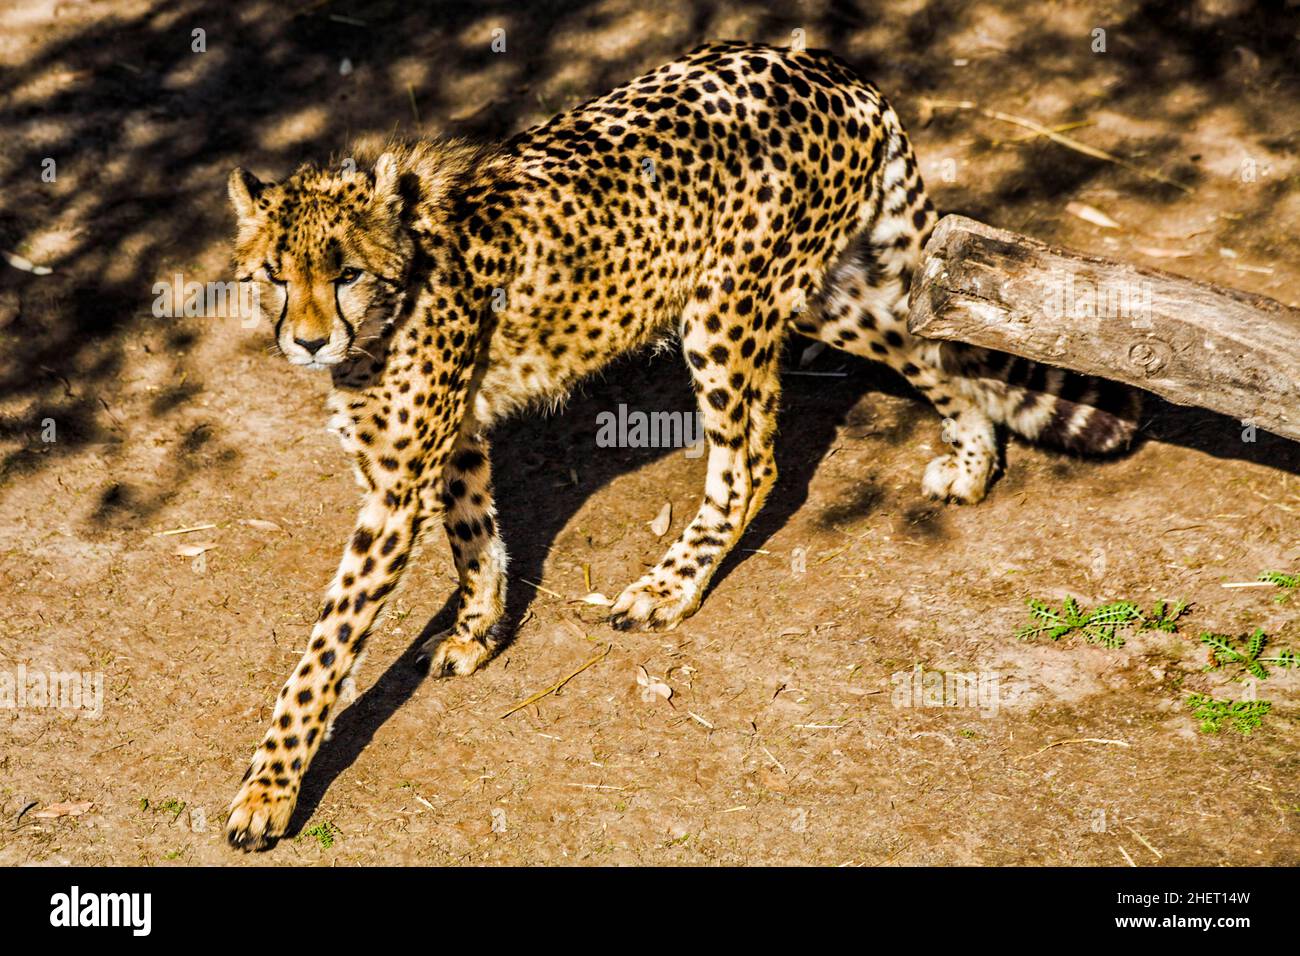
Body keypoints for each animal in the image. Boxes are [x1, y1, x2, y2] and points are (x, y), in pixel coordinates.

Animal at [223, 40, 1139, 849]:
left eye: (344, 272)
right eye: (273, 275)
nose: (308, 342)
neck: (398, 289)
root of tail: (824, 66)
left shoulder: (394, 489)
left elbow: (323, 651)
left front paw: (267, 792)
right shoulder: (450, 443)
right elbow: (475, 534)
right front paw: (479, 631)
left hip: (725, 306)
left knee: (751, 464)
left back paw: (669, 587)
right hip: (825, 296)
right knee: (925, 340)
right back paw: (973, 462)